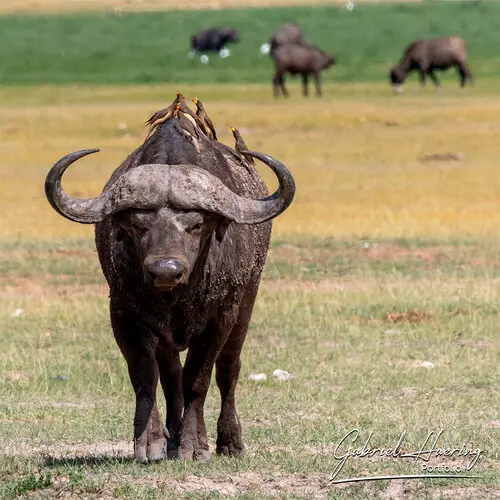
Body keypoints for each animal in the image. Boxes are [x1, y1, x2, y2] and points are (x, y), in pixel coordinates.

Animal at [45, 95, 294, 462]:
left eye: (196, 224)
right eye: (138, 224)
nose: (165, 269)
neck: (177, 296)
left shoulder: (220, 317)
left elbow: (198, 379)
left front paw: (194, 445)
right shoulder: (124, 315)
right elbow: (146, 376)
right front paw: (151, 442)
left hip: (247, 302)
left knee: (228, 370)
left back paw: (229, 441)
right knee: (171, 376)